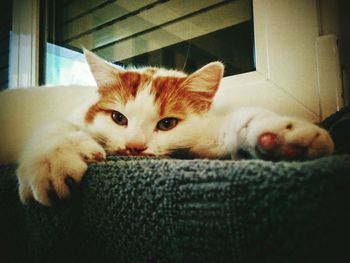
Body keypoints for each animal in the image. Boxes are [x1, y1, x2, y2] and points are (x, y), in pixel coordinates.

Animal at [0, 49, 334, 206]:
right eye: (118, 118)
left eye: (167, 123)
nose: (134, 147)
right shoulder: (70, 117)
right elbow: (54, 128)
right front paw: (50, 163)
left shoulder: (206, 135)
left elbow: (240, 122)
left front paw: (285, 136)